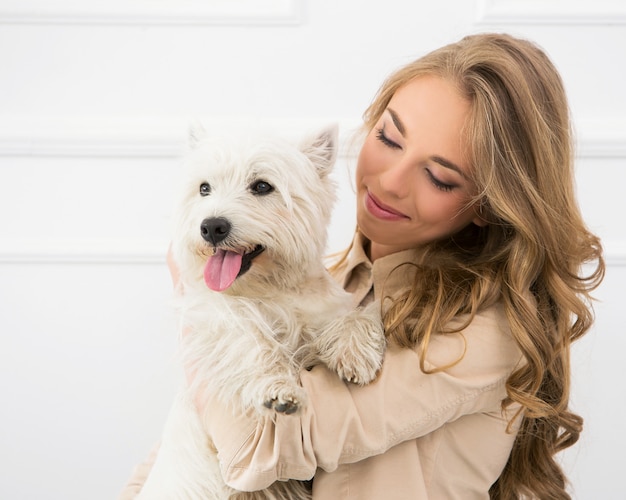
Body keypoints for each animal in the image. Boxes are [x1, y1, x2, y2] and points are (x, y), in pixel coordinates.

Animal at [134, 123, 382, 498]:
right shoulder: (214, 319)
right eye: (204, 188)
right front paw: (279, 390)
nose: (212, 226)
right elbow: (250, 341)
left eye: (262, 186)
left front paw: (355, 355)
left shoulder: (322, 310)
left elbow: (352, 315)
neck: (269, 290)